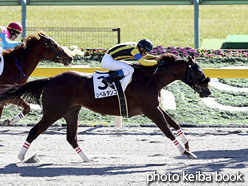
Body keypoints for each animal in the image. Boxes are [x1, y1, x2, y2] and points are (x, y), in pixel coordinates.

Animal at [0, 53, 211, 161]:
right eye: (198, 71)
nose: (207, 90)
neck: (149, 79)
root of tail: (51, 79)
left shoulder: (154, 107)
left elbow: (175, 124)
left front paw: (188, 146)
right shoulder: (150, 110)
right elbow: (167, 130)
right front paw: (183, 151)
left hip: (71, 112)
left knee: (71, 138)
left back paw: (87, 158)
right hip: (53, 112)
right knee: (34, 131)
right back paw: (21, 156)